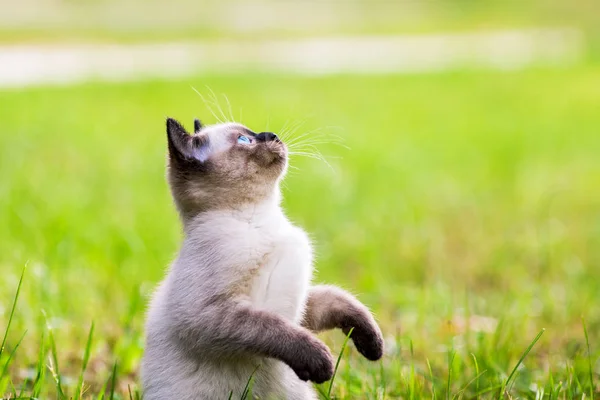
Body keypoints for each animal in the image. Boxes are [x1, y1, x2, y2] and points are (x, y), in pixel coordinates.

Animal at [142, 117, 382, 398]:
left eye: (251, 133)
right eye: (244, 140)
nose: (273, 135)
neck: (260, 216)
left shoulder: (301, 310)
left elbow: (338, 300)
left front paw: (373, 345)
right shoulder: (209, 313)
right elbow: (273, 328)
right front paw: (322, 363)